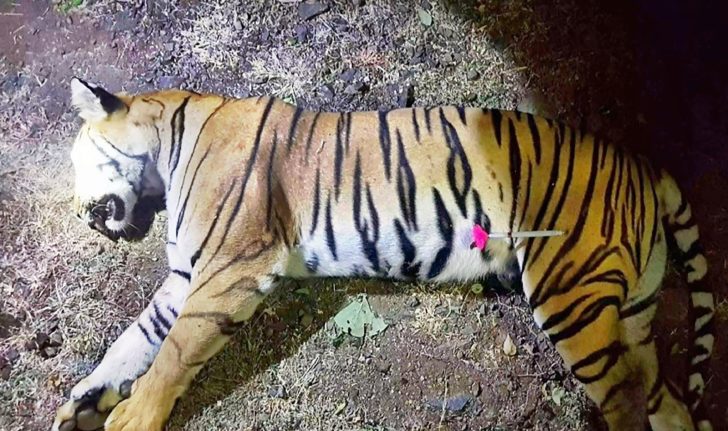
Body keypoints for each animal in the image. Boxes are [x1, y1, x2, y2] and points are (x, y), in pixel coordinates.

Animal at [53, 77, 714, 431]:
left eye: (79, 161)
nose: (85, 216)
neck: (166, 150)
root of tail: (643, 165)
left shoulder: (228, 269)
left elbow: (172, 354)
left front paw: (131, 416)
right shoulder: (186, 276)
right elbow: (134, 342)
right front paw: (81, 404)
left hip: (570, 294)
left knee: (626, 398)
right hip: (631, 310)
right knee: (664, 397)